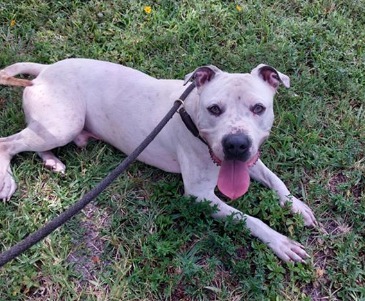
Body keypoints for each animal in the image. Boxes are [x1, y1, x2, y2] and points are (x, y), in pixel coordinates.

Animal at [0, 58, 316, 260]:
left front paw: (297, 206)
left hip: (55, 128)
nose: (236, 144)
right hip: (64, 124)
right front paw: (280, 242)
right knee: (7, 144)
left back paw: (51, 161)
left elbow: (276, 180)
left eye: (259, 108)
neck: (189, 111)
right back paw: (7, 181)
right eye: (214, 109)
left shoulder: (249, 161)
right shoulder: (200, 195)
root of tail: (45, 70)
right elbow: (248, 218)